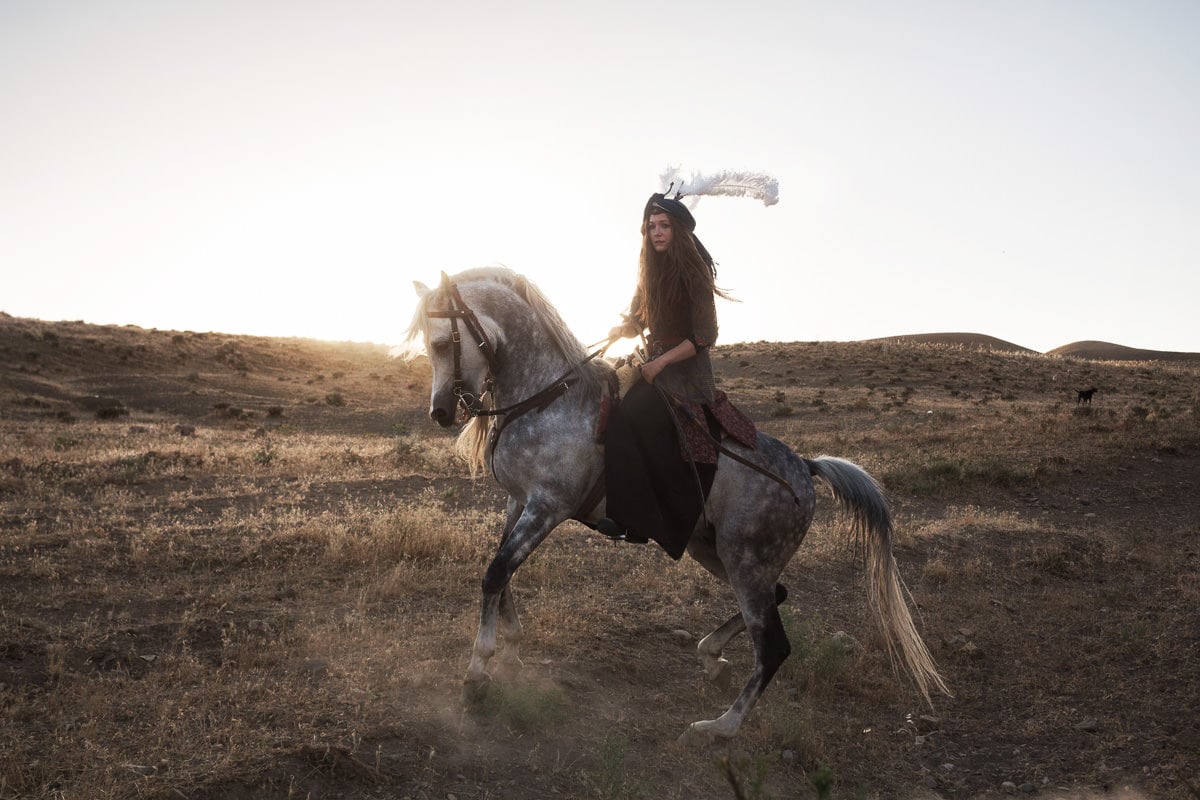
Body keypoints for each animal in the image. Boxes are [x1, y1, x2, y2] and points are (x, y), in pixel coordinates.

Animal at [403, 268, 945, 743]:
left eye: (441, 343)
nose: (441, 412)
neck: (549, 397)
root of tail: (806, 468)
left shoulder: (547, 506)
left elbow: (496, 572)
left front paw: (478, 671)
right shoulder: (519, 502)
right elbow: (502, 573)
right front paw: (511, 650)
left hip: (744, 560)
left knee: (773, 646)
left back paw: (718, 728)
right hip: (717, 551)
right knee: (778, 597)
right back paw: (711, 656)